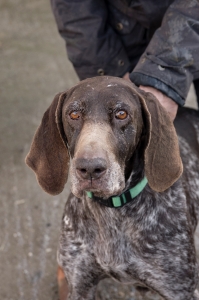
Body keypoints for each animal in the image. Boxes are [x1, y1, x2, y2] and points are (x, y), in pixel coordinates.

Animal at [25, 77, 199, 300]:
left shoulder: (178, 289)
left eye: (121, 114)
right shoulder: (81, 285)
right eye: (74, 114)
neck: (111, 211)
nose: (90, 168)